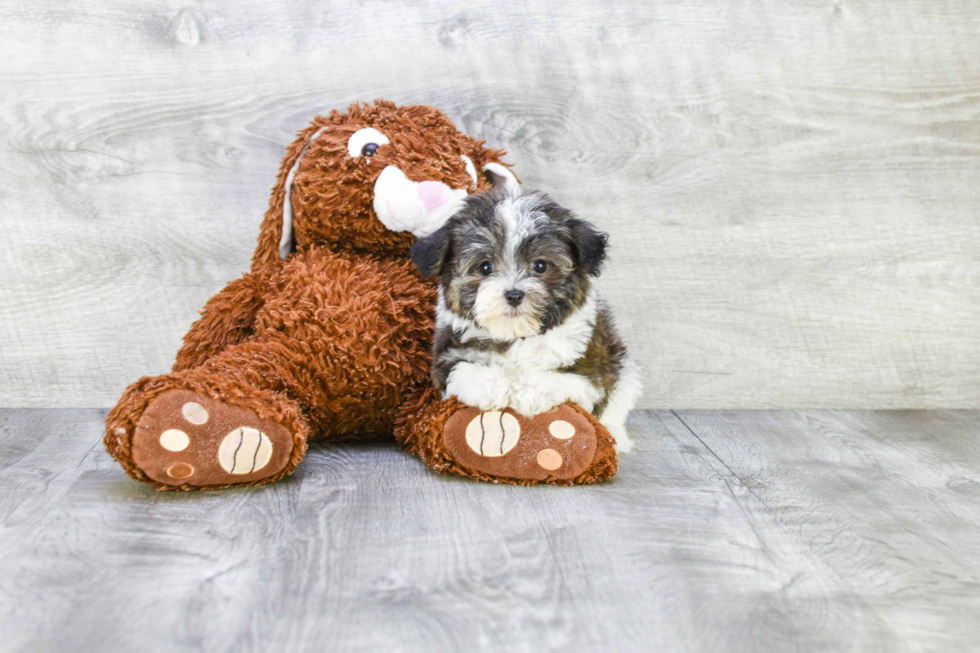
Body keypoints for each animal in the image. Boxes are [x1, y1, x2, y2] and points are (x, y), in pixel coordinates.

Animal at [408, 186, 644, 450]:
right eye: (485, 267)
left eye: (540, 266)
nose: (514, 294)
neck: (516, 335)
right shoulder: (448, 353)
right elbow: (463, 370)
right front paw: (494, 386)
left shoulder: (594, 369)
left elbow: (564, 380)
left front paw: (526, 390)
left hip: (625, 370)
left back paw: (616, 436)